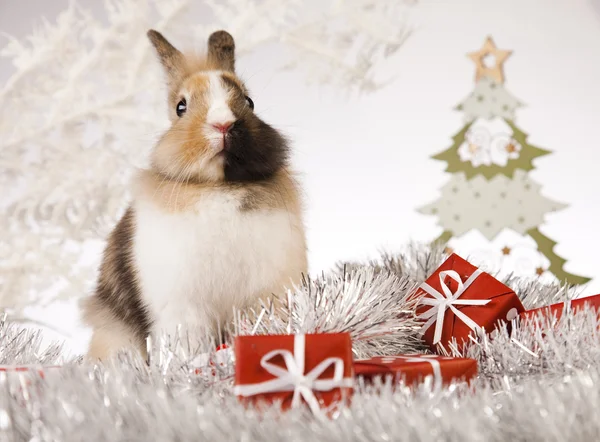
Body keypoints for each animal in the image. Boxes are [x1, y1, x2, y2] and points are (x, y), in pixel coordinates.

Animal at [82, 28, 308, 360]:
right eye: (181, 107)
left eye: (249, 101)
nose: (223, 124)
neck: (218, 188)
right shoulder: (183, 308)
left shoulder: (265, 298)